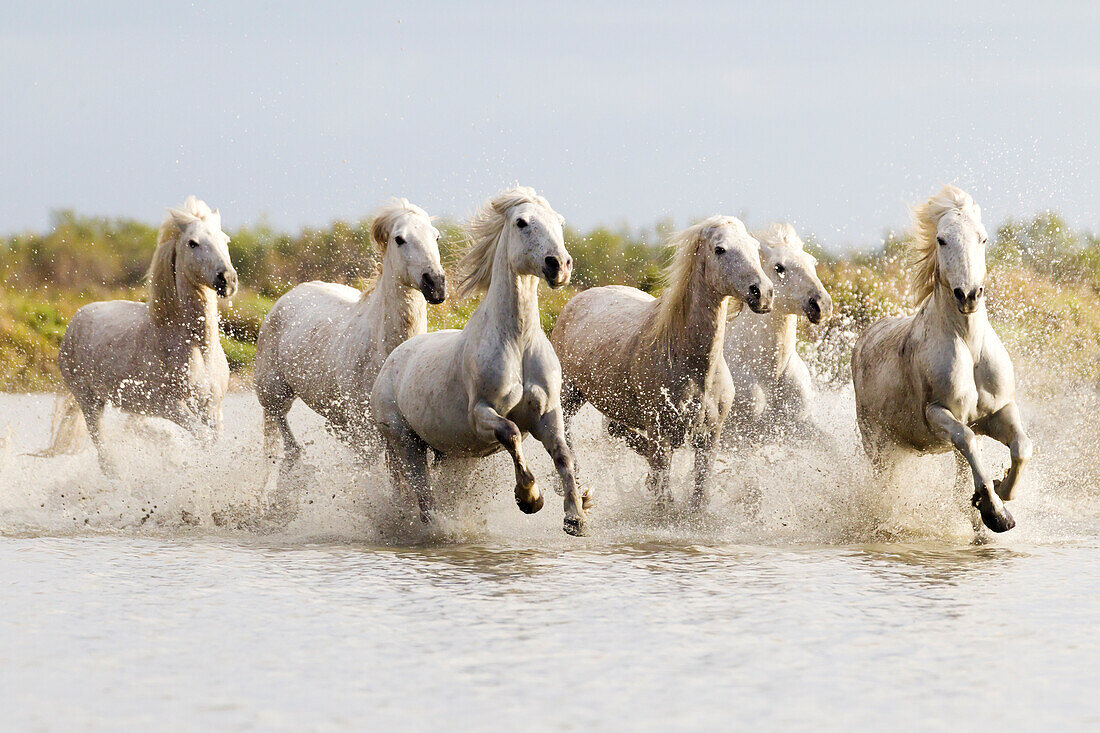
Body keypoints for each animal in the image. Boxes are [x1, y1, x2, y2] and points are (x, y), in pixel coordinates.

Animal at [53, 193, 238, 471]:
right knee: (103, 450)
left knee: (133, 429)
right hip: (89, 401)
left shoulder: (211, 407)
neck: (194, 347)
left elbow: (213, 441)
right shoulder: (171, 406)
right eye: (192, 243)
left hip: (133, 405)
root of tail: (76, 319)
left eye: (225, 239)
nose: (227, 279)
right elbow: (203, 439)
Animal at [371, 186, 594, 534]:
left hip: (450, 452)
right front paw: (529, 498)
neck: (517, 342)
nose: (559, 265)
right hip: (405, 441)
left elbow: (563, 454)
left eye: (558, 221)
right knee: (422, 494)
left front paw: (576, 515)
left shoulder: (547, 413)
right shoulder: (480, 413)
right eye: (521, 222)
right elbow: (511, 433)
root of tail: (394, 358)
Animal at [550, 214, 774, 510]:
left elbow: (699, 497)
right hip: (569, 394)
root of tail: (579, 298)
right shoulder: (660, 434)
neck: (693, 366)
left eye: (754, 247)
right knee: (565, 431)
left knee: (615, 429)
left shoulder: (709, 437)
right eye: (720, 249)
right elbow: (664, 498)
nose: (763, 293)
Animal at [849, 183, 1029, 530]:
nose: (968, 295)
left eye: (983, 238)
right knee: (883, 484)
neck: (968, 345)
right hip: (877, 442)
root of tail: (864, 337)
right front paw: (994, 511)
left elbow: (1021, 447)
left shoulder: (999, 410)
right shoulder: (937, 413)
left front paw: (999, 491)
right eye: (942, 239)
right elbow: (968, 439)